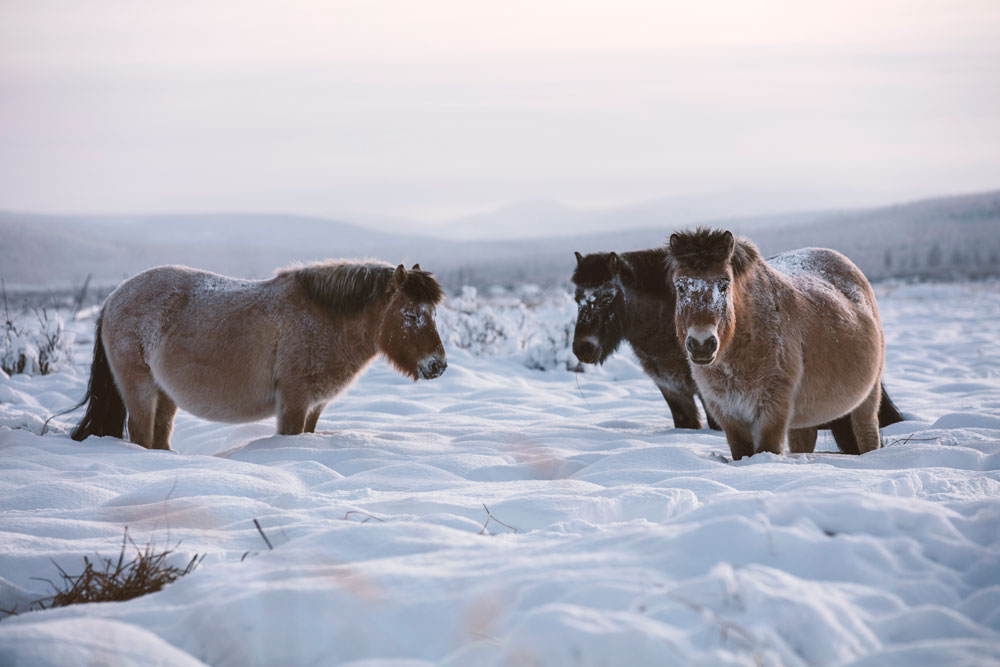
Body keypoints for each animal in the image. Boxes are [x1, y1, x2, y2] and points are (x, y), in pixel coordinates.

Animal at [70, 260, 446, 448]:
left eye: (433, 312)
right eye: (410, 314)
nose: (438, 365)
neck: (326, 319)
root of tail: (114, 297)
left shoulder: (314, 407)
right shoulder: (294, 402)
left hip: (165, 394)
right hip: (139, 389)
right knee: (141, 434)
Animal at [668, 230, 888, 460]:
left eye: (724, 284)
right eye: (680, 286)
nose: (702, 344)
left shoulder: (773, 410)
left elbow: (768, 448)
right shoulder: (727, 414)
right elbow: (741, 451)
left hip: (868, 399)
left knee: (868, 435)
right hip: (802, 423)